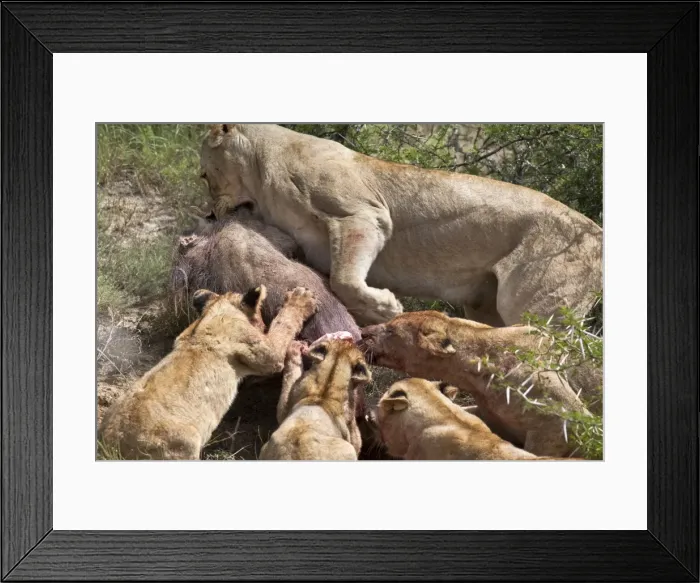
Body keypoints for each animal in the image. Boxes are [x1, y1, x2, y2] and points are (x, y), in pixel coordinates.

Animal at [98, 286, 317, 460]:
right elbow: (284, 324)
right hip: (183, 445)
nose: (263, 324)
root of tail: (109, 448)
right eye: (262, 319)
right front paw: (301, 298)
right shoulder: (268, 354)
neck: (215, 312)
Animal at [199, 123, 602, 327]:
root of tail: (597, 233)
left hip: (536, 310)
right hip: (485, 306)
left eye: (205, 176)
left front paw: (387, 308)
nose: (211, 217)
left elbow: (344, 279)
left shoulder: (363, 215)